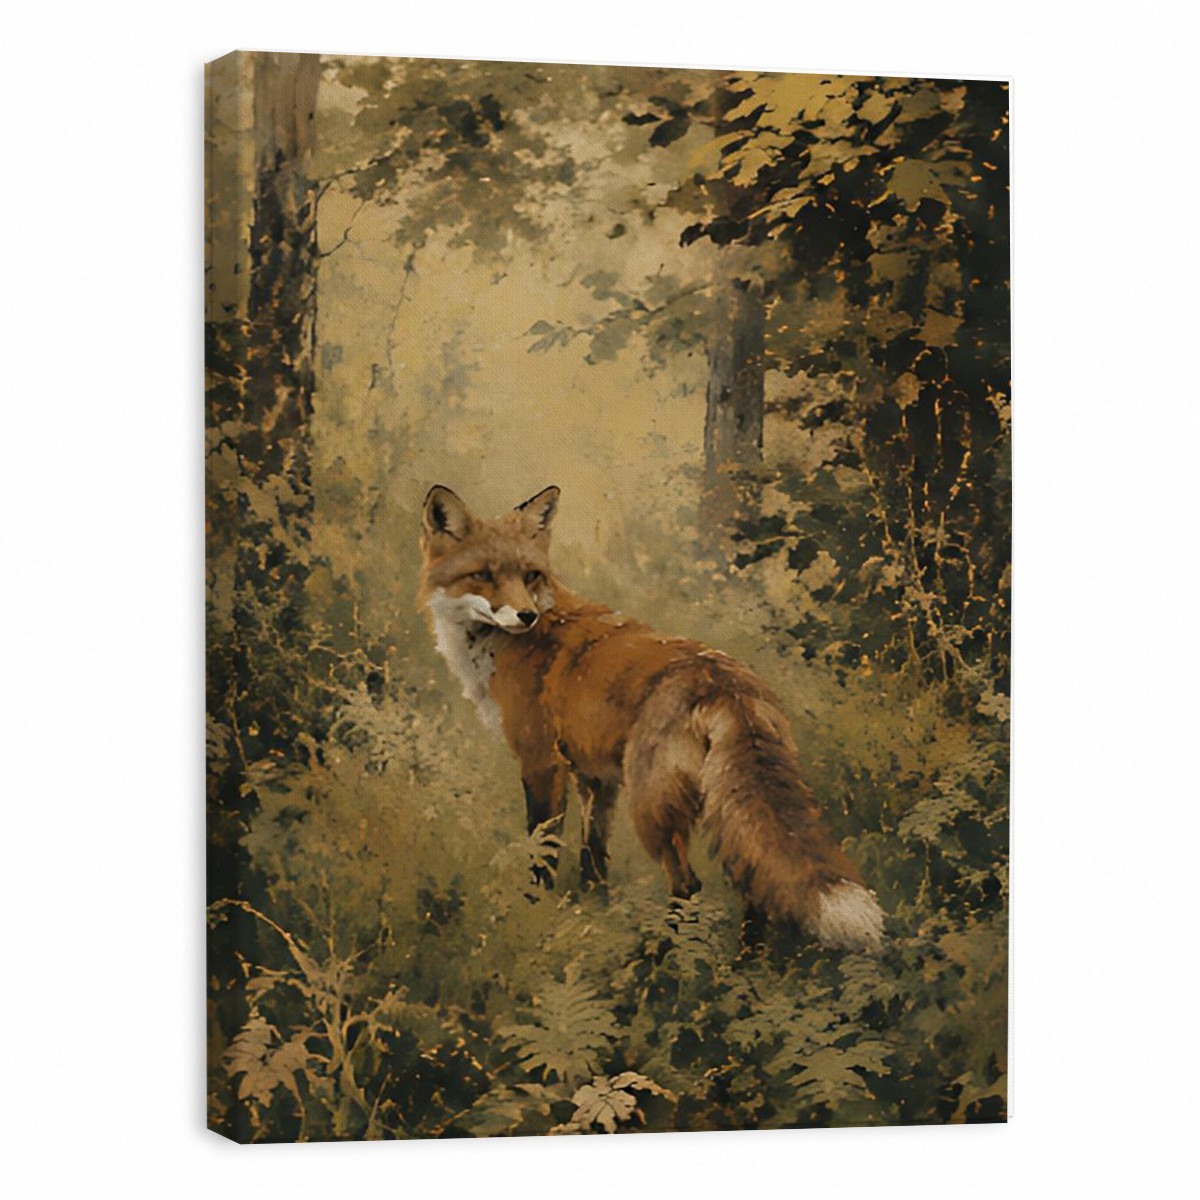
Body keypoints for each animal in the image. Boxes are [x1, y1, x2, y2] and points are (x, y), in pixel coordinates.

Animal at [418, 484, 884, 952]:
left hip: (651, 807)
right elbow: (593, 860)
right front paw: (594, 920)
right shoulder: (594, 776)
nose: (526, 615)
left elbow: (543, 854)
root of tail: (728, 683)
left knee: (687, 886)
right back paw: (745, 966)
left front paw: (537, 922)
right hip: (719, 805)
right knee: (756, 889)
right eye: (483, 574)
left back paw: (657, 962)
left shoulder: (542, 762)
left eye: (530, 575)